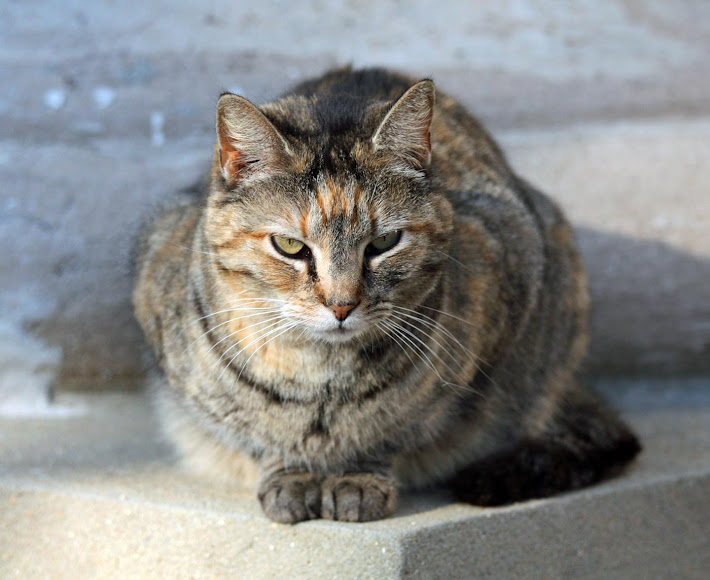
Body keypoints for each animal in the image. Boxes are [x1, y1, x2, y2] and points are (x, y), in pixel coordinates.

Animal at [131, 68, 644, 524]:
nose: (341, 305)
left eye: (384, 243)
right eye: (291, 247)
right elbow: (264, 434)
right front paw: (293, 473)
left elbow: (395, 427)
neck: (321, 378)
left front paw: (357, 477)